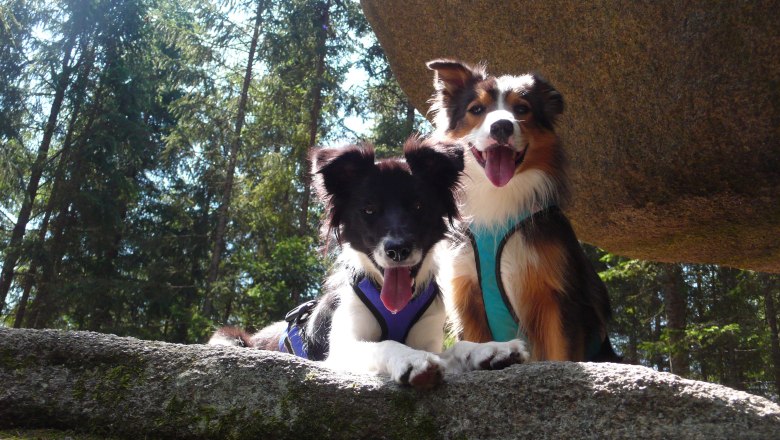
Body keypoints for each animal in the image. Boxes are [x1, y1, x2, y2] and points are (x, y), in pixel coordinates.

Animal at [210, 138, 528, 388]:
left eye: (418, 206)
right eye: (369, 210)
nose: (398, 249)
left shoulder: (430, 339)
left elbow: (459, 345)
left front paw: (493, 350)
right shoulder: (339, 351)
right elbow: (385, 344)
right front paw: (411, 359)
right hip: (226, 338)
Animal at [430, 59, 620, 360]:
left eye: (521, 109)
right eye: (477, 109)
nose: (502, 127)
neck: (497, 195)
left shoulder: (558, 299)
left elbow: (561, 355)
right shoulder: (467, 299)